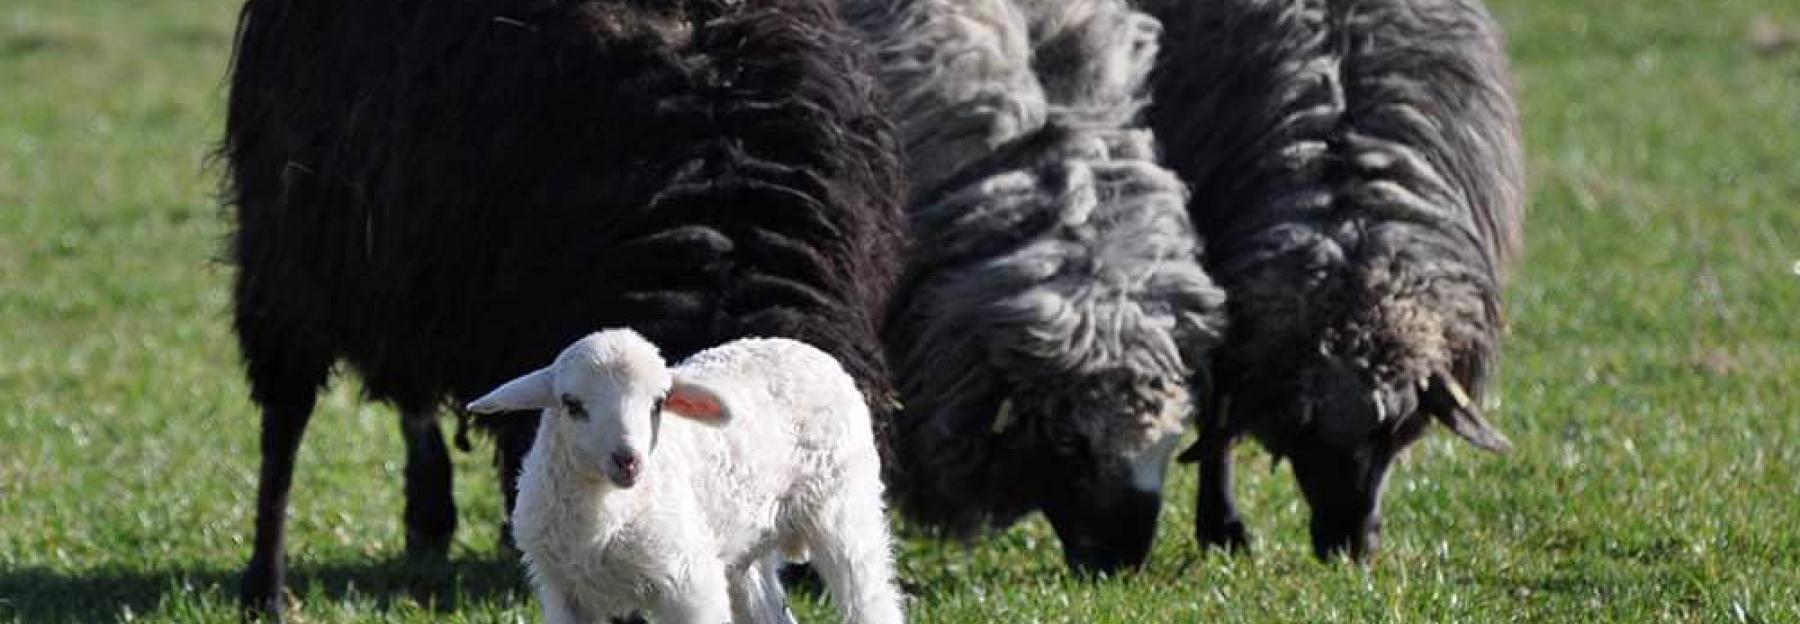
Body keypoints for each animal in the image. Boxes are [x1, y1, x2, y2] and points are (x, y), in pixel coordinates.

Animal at [471, 330, 907, 622]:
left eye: (658, 403)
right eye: (571, 404)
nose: (628, 460)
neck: (607, 513)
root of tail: (802, 348)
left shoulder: (688, 583)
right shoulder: (564, 592)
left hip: (845, 507)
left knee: (870, 597)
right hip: (741, 545)